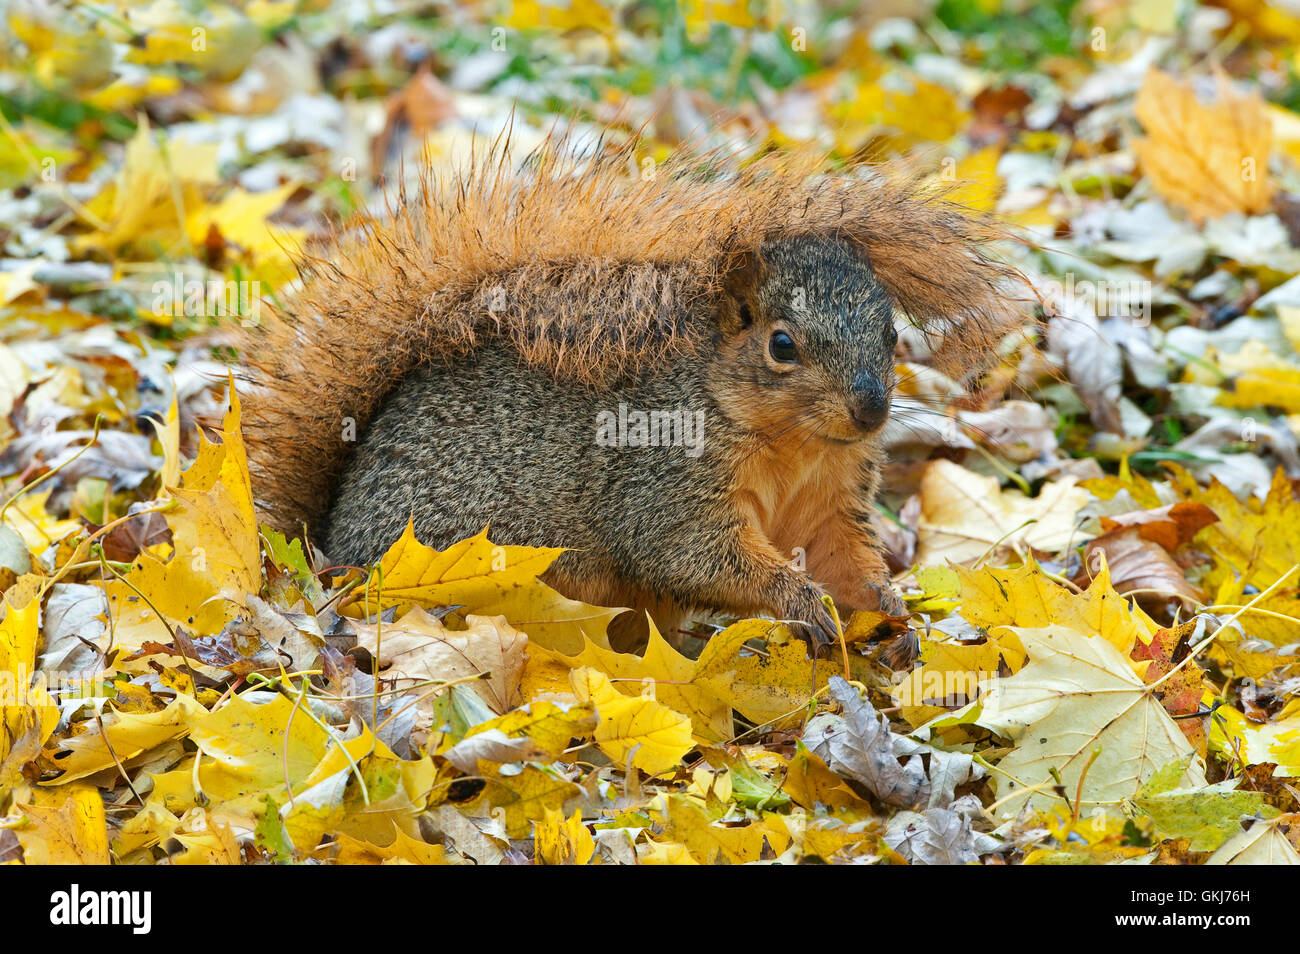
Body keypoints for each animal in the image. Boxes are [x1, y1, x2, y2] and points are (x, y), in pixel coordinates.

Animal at [236, 132, 1021, 648]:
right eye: (782, 345)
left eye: (891, 336)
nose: (870, 410)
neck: (792, 444)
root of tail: (329, 551)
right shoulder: (663, 482)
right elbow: (692, 553)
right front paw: (800, 600)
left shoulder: (831, 498)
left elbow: (843, 555)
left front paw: (890, 608)